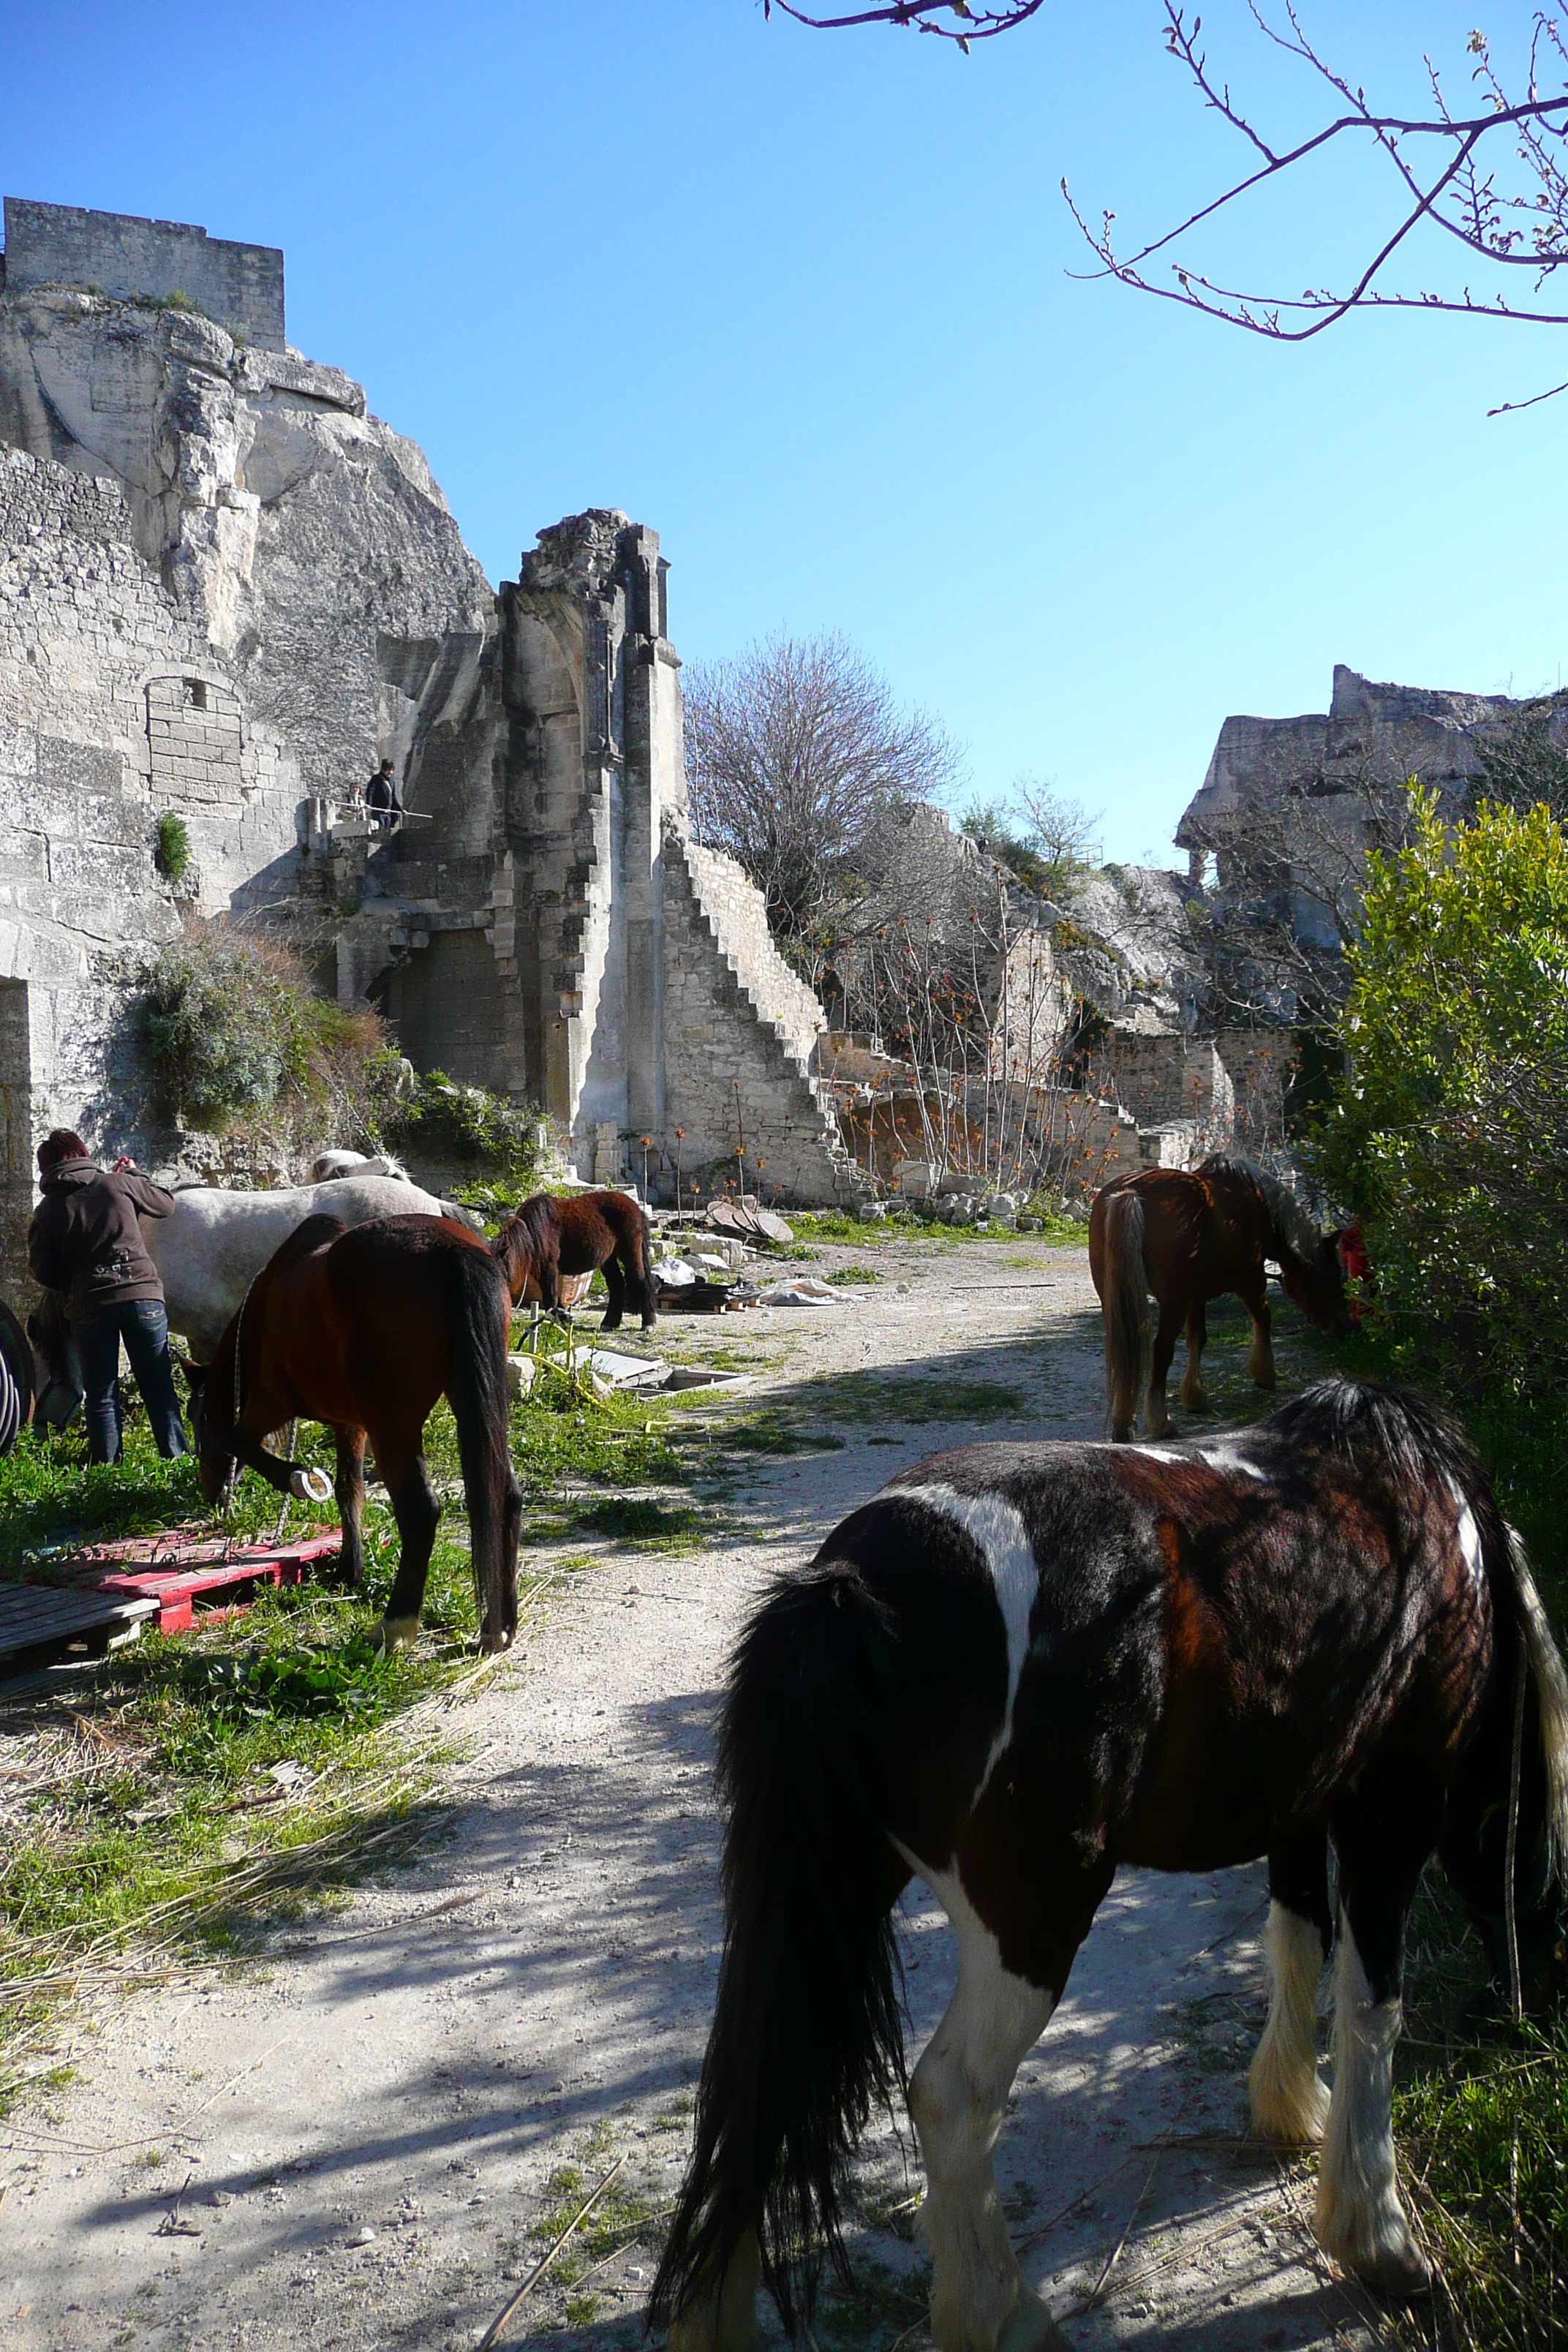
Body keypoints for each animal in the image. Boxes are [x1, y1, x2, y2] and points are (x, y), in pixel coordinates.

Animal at [186, 1213, 524, 1656]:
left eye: (197, 1425)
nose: (210, 1494)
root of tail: (453, 1248)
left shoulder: (270, 1403)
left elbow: (238, 1440)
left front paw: (297, 1479)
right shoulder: (350, 1424)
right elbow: (351, 1489)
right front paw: (351, 1566)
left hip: (393, 1426)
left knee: (421, 1511)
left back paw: (395, 1626)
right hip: (468, 1398)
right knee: (506, 1495)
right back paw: (499, 1626)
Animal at [496, 1185, 658, 1335]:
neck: (534, 1231)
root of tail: (636, 1208)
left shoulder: (549, 1269)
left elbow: (551, 1299)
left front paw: (554, 1328)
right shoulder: (541, 1272)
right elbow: (555, 1301)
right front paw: (562, 1323)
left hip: (630, 1253)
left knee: (642, 1280)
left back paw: (648, 1324)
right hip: (608, 1259)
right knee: (616, 1285)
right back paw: (609, 1323)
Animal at [649, 1373, 1568, 2352]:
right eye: (1547, 1871)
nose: (1523, 2012)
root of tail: (854, 1582)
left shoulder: (1296, 1807)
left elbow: (1295, 1944)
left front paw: (1289, 2106)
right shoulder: (1387, 1811)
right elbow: (1370, 2007)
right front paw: (1378, 2237)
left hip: (834, 1896)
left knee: (759, 2087)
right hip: (1031, 1921)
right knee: (950, 2095)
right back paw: (1002, 2314)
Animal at [1090, 1147, 1354, 1439]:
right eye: (1333, 1275)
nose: (1343, 1327)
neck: (1260, 1206)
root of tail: (1131, 1193)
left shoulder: (1196, 1297)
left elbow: (1197, 1339)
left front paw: (1195, 1397)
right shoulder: (1251, 1281)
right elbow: (1264, 1319)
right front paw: (1265, 1374)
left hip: (1118, 1298)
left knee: (1125, 1353)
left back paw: (1123, 1424)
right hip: (1173, 1302)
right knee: (1160, 1351)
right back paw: (1161, 1423)